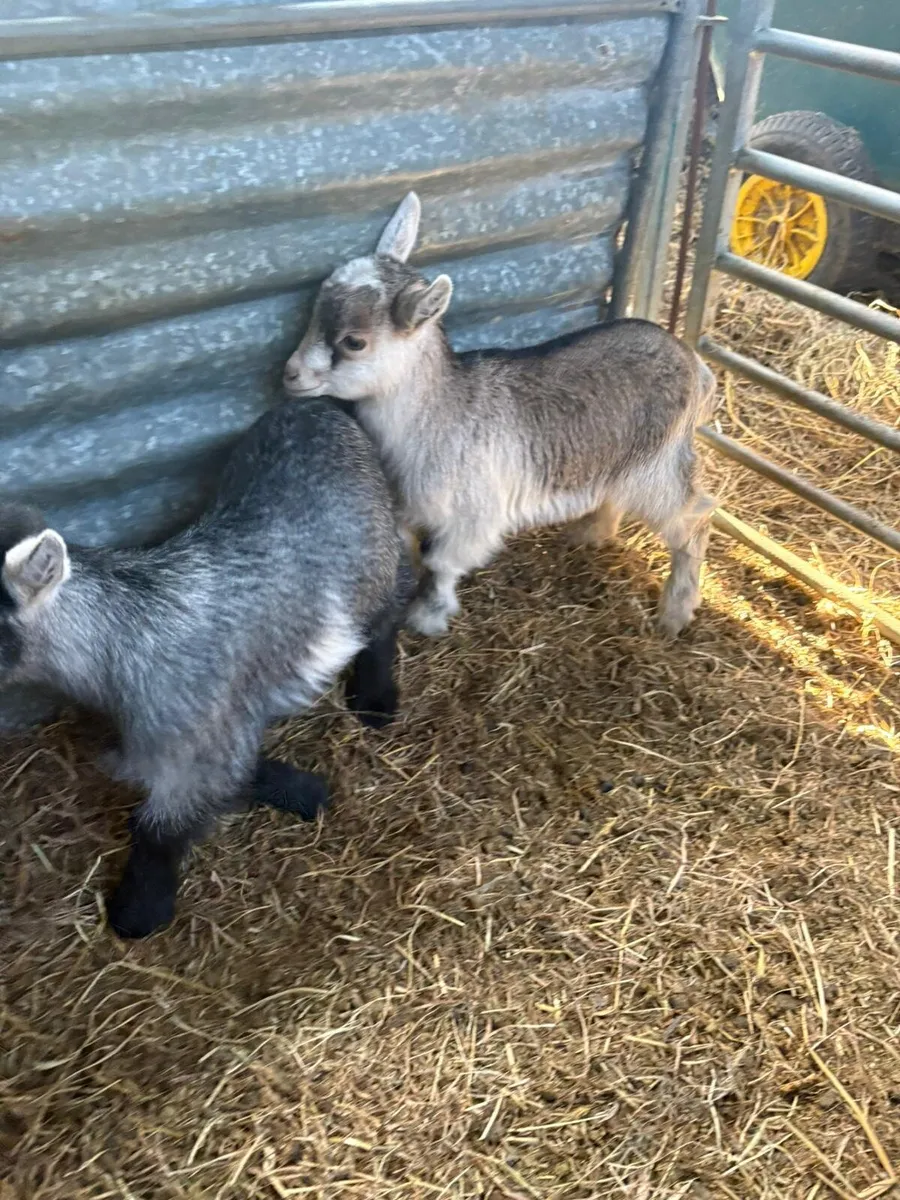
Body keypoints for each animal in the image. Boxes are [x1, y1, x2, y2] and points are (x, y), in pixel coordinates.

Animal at [0, 399, 410, 939]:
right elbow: (239, 768)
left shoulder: (192, 734)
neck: (126, 636)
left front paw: (138, 911)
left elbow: (162, 826)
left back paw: (375, 699)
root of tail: (314, 405)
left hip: (375, 559)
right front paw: (303, 789)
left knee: (389, 610)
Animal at [284, 193, 719, 639]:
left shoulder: (473, 516)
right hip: (625, 461)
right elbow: (410, 549)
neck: (440, 413)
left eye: (354, 341)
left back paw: (675, 612)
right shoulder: (406, 505)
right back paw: (589, 533)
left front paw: (428, 616)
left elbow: (443, 564)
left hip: (657, 468)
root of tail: (694, 364)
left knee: (695, 519)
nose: (290, 374)